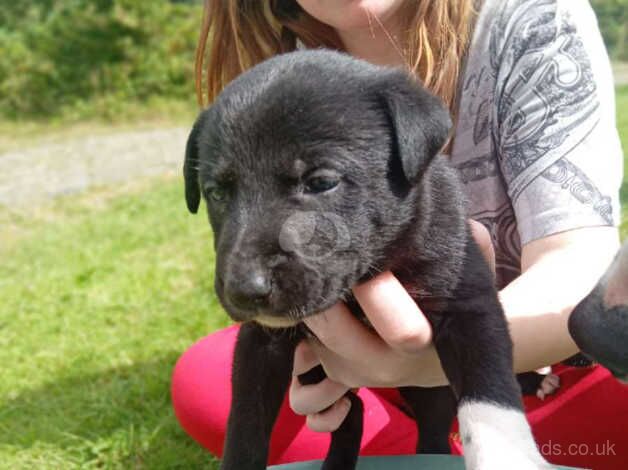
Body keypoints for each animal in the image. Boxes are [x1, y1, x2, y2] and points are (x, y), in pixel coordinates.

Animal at [182, 49, 544, 468]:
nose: (243, 290)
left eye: (321, 182)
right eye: (216, 193)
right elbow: (245, 422)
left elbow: (490, 399)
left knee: (432, 434)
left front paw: (506, 455)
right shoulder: (261, 344)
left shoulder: (468, 301)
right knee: (353, 414)